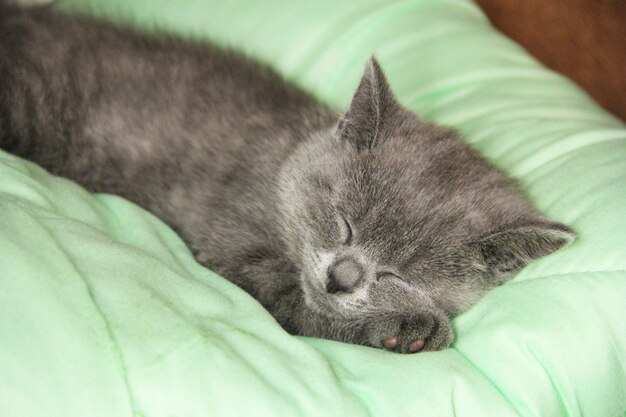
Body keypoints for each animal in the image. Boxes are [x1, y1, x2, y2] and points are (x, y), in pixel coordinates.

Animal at [1, 5, 576, 352]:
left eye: (400, 274)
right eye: (343, 223)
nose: (341, 278)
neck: (283, 156)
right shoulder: (235, 243)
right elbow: (300, 308)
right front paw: (406, 329)